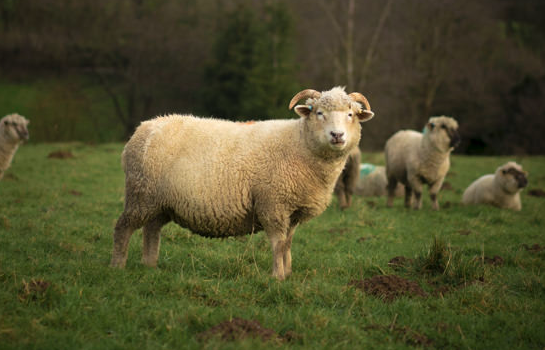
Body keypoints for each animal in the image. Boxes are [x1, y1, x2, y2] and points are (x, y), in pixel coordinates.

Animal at [110, 86, 374, 280]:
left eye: (350, 114)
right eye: (319, 112)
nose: (337, 135)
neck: (300, 145)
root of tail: (142, 129)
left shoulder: (293, 211)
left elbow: (288, 244)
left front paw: (288, 273)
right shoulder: (273, 204)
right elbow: (278, 243)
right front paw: (277, 277)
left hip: (160, 202)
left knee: (151, 230)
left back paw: (150, 265)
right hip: (142, 193)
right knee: (123, 227)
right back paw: (118, 266)